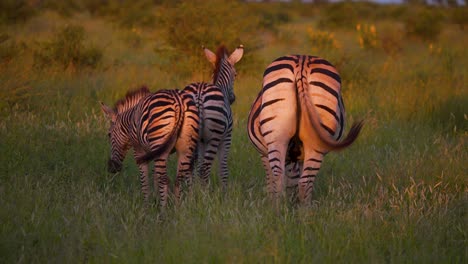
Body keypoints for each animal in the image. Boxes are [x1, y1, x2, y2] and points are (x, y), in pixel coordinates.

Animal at [183, 44, 243, 190]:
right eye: (235, 74)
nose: (232, 99)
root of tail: (199, 94)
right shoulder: (226, 137)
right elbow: (223, 168)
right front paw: (224, 191)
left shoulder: (202, 141)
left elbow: (197, 167)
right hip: (215, 137)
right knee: (204, 169)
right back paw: (204, 195)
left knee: (189, 168)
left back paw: (191, 193)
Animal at [247, 54, 364, 204]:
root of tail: (302, 61)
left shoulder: (264, 154)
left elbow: (271, 181)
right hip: (314, 139)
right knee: (303, 181)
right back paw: (304, 210)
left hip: (277, 138)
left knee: (279, 177)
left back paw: (277, 209)